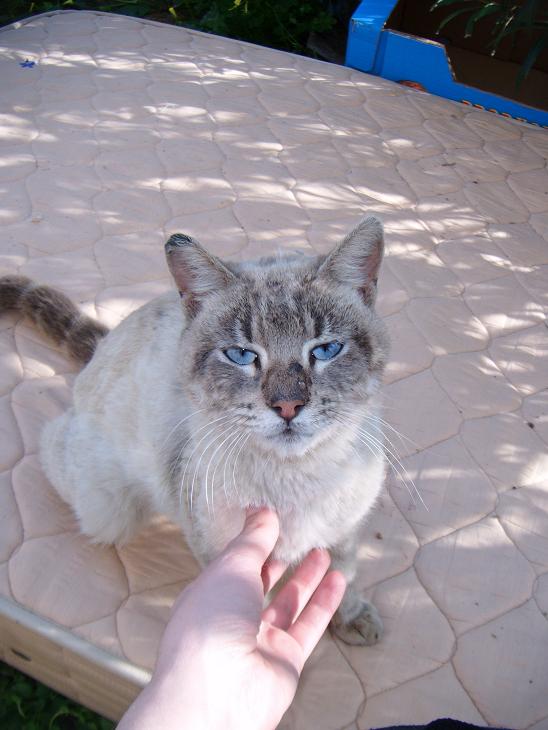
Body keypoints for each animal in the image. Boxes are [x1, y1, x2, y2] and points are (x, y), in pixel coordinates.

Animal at [0, 215, 390, 644]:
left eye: (325, 350)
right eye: (241, 355)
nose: (287, 406)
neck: (298, 482)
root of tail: (106, 343)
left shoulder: (344, 533)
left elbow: (341, 576)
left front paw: (352, 618)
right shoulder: (224, 552)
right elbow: (260, 603)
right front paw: (261, 641)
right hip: (110, 511)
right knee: (52, 438)